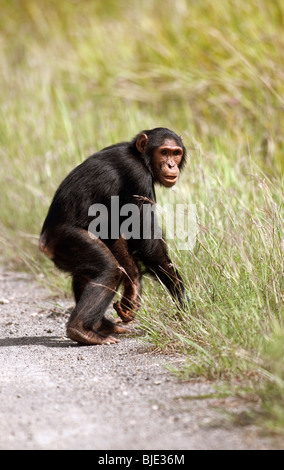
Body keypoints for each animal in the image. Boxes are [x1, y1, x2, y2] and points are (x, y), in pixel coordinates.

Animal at [39, 127, 186, 346]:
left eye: (176, 153)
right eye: (164, 152)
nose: (171, 164)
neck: (141, 158)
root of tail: (44, 242)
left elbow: (117, 228)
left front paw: (132, 290)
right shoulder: (137, 177)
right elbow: (145, 239)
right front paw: (180, 294)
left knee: (88, 273)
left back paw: (102, 326)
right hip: (66, 241)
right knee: (109, 270)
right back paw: (81, 330)